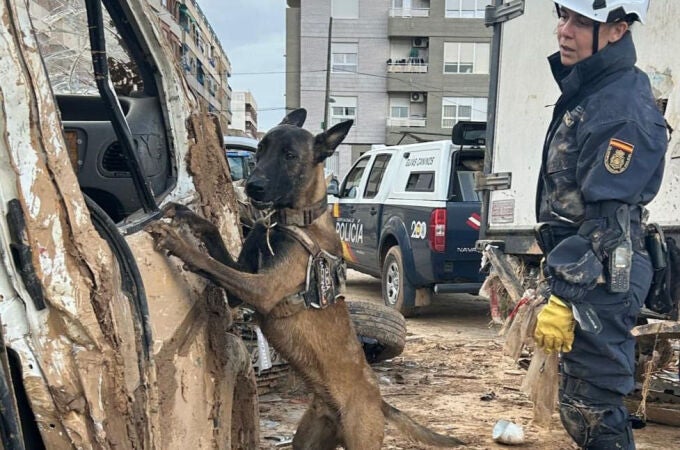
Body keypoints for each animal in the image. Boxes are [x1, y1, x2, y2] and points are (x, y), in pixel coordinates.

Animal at [147, 109, 462, 450]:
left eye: (290, 156)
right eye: (260, 151)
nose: (252, 186)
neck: (291, 222)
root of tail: (378, 401)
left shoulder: (262, 290)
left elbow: (210, 263)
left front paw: (180, 243)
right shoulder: (240, 290)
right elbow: (212, 233)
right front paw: (186, 216)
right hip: (309, 436)